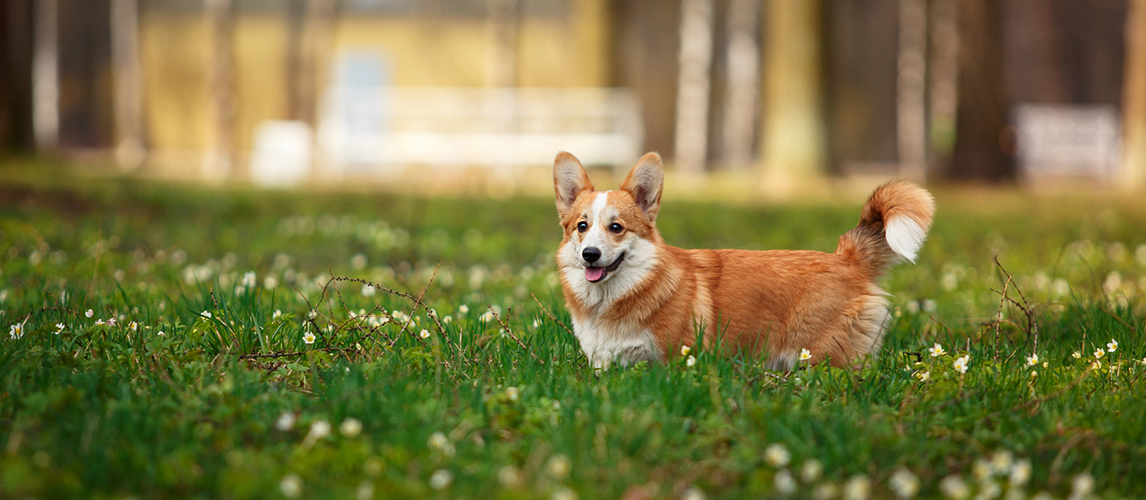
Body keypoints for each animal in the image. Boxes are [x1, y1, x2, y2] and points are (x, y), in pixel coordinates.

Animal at [550, 150, 935, 369]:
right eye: (582, 226)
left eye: (616, 227)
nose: (589, 255)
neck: (613, 300)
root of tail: (848, 258)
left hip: (823, 358)